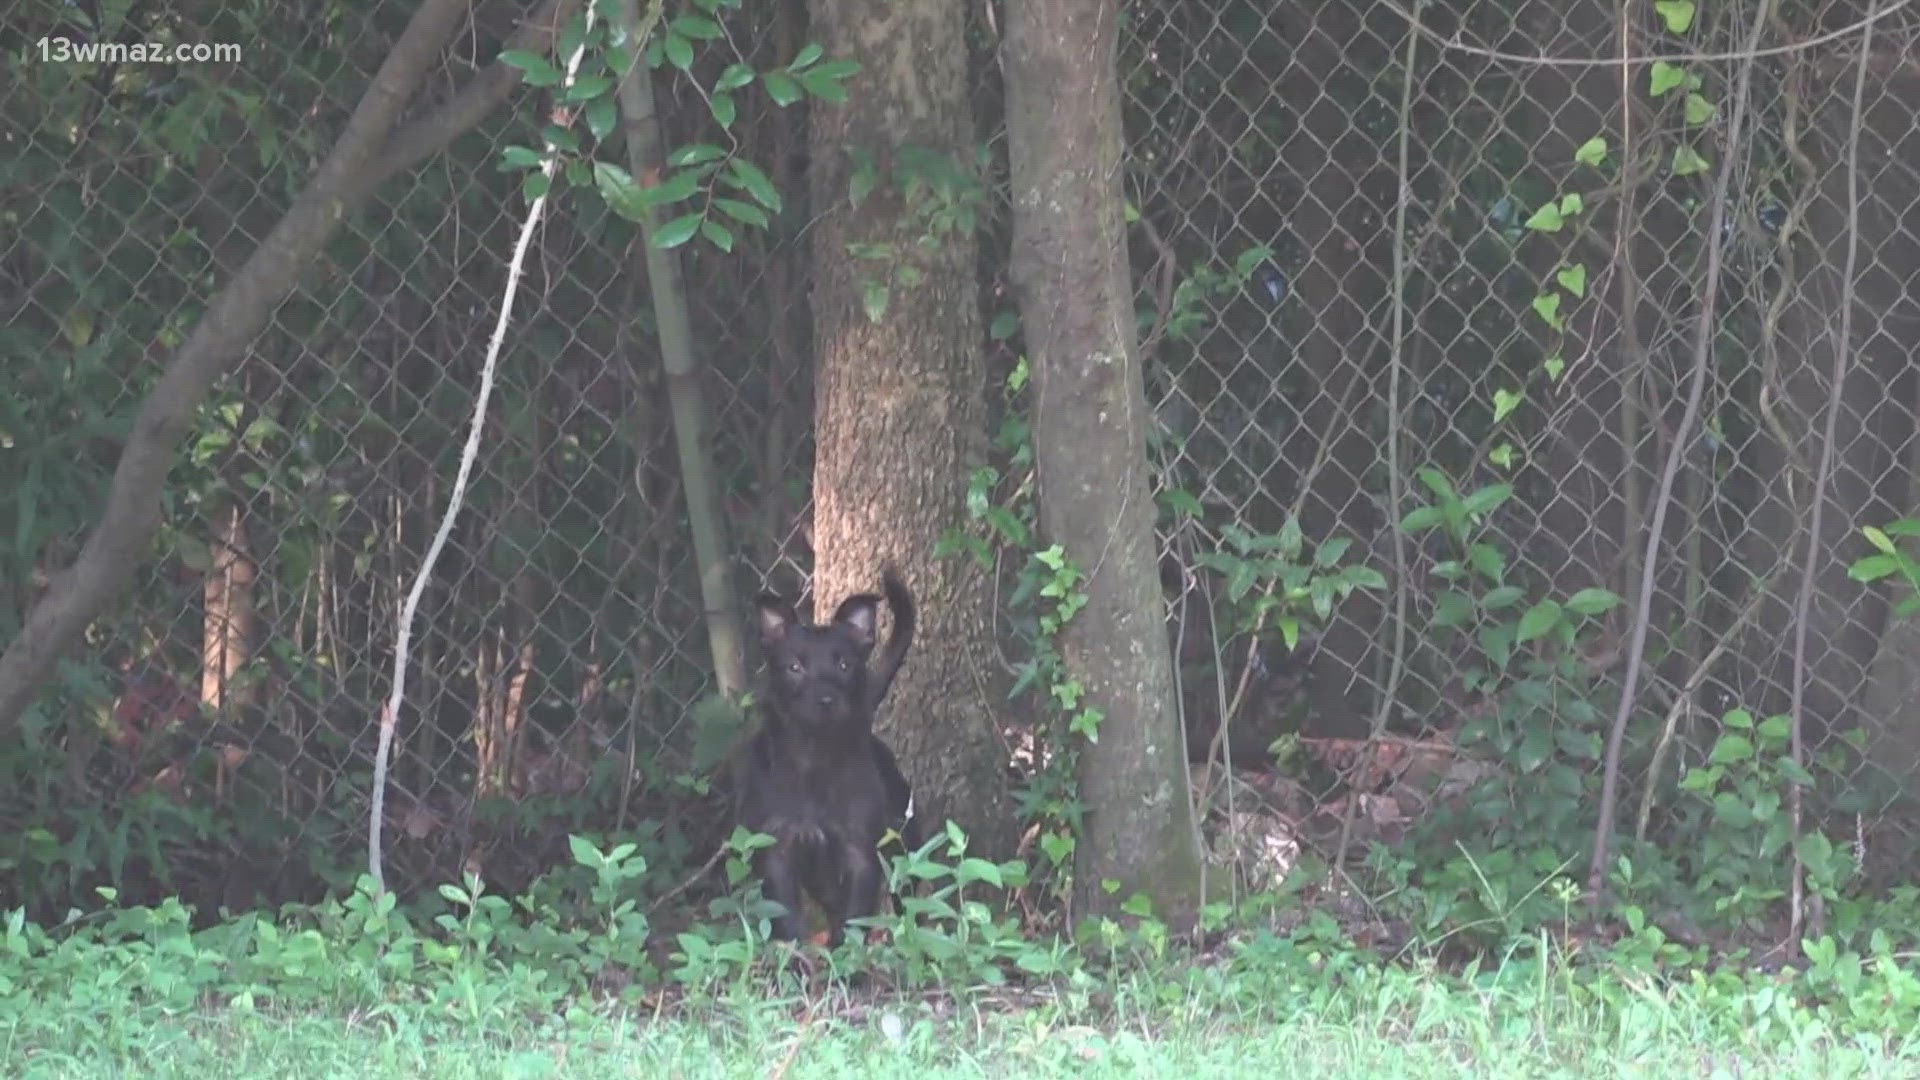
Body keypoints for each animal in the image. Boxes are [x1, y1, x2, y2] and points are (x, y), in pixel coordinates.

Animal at [729, 564, 917, 941]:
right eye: (794, 667)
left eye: (845, 664)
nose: (826, 700)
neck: (814, 758)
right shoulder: (777, 849)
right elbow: (786, 921)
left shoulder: (860, 851)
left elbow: (854, 920)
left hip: (904, 844)